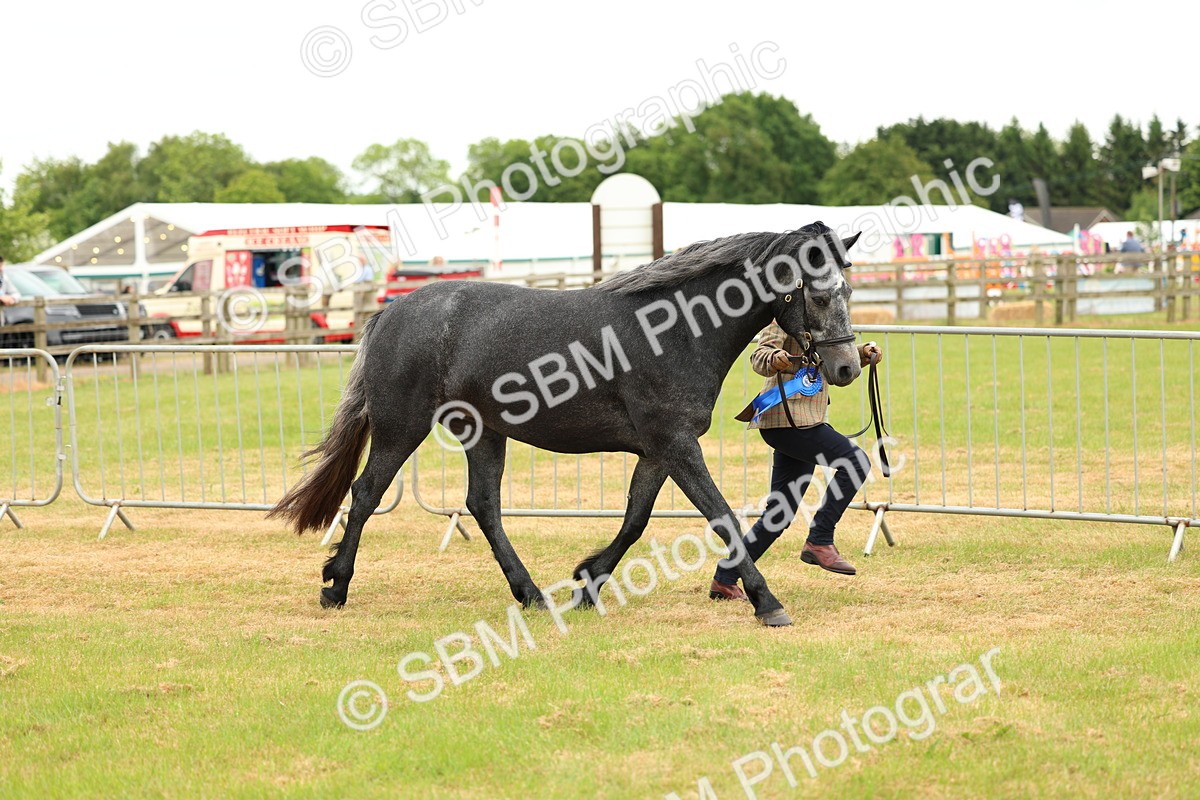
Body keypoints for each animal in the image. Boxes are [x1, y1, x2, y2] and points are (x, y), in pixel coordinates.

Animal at [268, 222, 863, 626]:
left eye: (849, 290)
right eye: (818, 292)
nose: (847, 368)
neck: (673, 331)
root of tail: (391, 311)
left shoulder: (658, 451)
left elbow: (635, 520)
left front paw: (586, 584)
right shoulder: (676, 446)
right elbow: (721, 517)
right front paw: (768, 603)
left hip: (483, 433)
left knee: (483, 506)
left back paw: (530, 593)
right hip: (402, 428)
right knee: (367, 492)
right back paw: (335, 586)